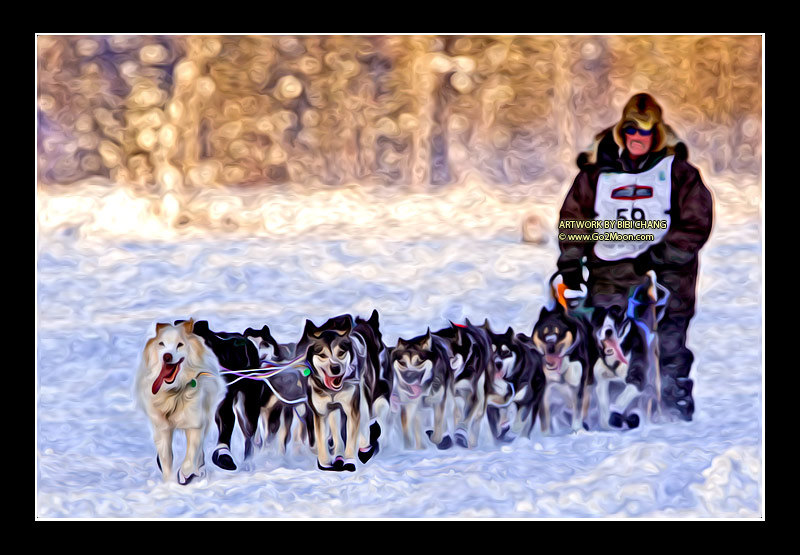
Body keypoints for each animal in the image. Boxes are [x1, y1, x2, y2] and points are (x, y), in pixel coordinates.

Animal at [136, 322, 225, 486]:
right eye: (161, 344)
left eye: (180, 344)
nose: (167, 356)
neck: (173, 393)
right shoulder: (162, 428)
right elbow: (166, 458)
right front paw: (169, 482)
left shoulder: (195, 423)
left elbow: (191, 455)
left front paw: (185, 473)